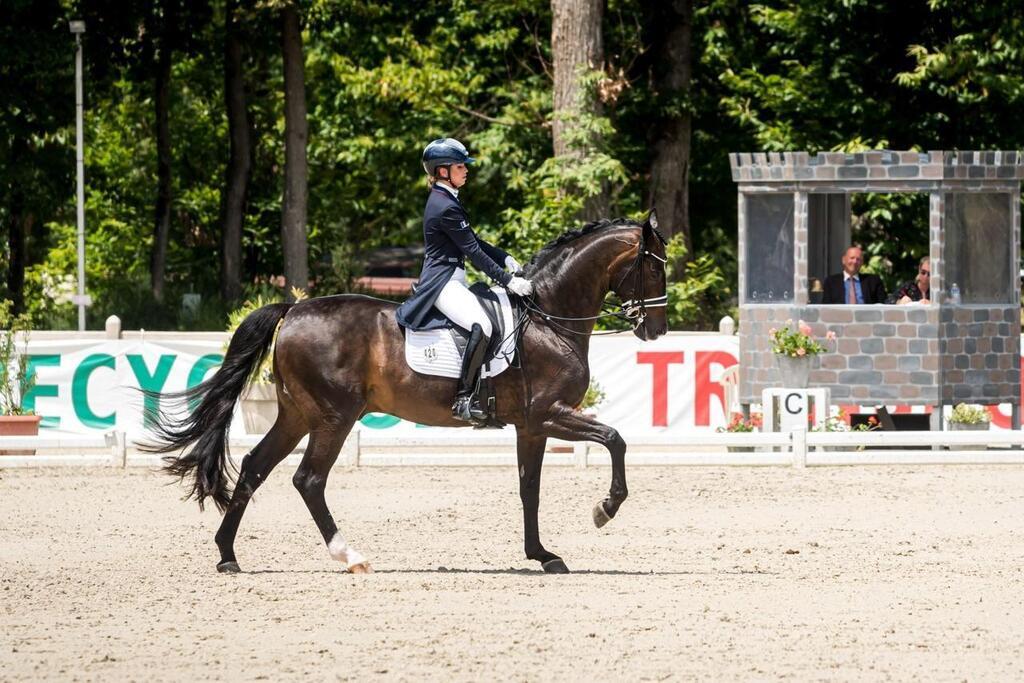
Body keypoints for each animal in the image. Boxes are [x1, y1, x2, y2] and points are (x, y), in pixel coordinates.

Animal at [148, 210, 667, 573]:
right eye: (655, 269)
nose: (657, 330)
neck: (547, 317)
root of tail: (293, 310)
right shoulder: (550, 414)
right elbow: (615, 439)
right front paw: (605, 509)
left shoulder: (531, 427)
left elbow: (530, 489)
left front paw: (542, 554)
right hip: (334, 417)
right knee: (308, 480)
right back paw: (350, 556)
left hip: (297, 415)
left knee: (256, 466)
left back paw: (227, 555)